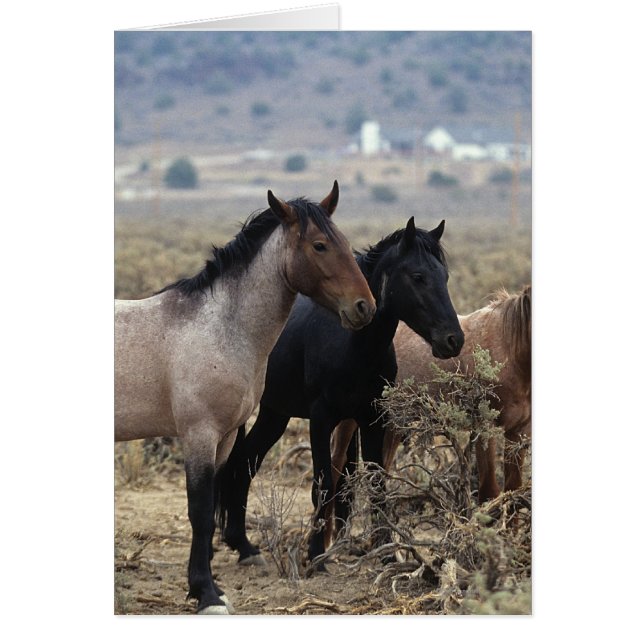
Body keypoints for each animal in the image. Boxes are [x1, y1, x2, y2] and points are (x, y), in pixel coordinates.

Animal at [114, 182, 376, 615]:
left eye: (343, 241)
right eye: (320, 245)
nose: (364, 307)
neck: (220, 328)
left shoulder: (224, 438)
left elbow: (216, 502)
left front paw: (210, 586)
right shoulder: (199, 436)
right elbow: (200, 512)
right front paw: (205, 594)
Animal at [215, 217, 464, 569]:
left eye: (445, 276)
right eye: (418, 276)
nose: (453, 340)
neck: (352, 344)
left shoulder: (372, 418)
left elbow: (375, 483)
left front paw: (385, 551)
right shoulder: (321, 419)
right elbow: (323, 483)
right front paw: (316, 554)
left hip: (275, 414)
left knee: (245, 461)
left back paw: (244, 546)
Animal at [330, 284, 532, 524]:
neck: (509, 348)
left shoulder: (518, 432)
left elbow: (513, 492)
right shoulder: (485, 430)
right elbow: (489, 493)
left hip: (391, 425)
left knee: (379, 475)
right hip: (349, 421)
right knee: (335, 467)